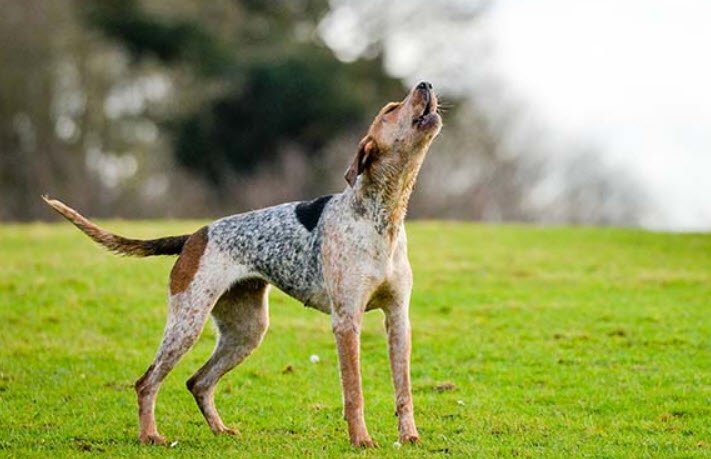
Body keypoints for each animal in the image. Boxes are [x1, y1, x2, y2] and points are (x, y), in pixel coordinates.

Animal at [43, 81, 440, 448]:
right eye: (390, 109)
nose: (426, 84)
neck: (383, 216)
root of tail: (194, 236)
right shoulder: (346, 322)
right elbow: (353, 393)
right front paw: (361, 439)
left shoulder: (398, 319)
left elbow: (404, 392)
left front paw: (409, 437)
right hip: (187, 324)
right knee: (147, 383)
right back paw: (150, 435)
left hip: (246, 330)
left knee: (198, 382)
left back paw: (220, 430)